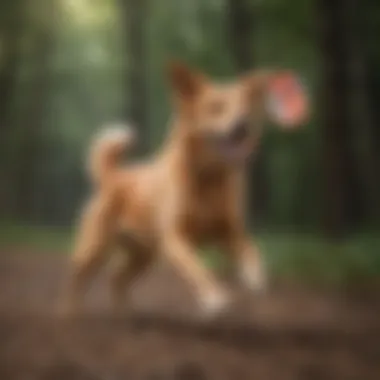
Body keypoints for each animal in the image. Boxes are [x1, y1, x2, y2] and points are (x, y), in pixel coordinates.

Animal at [60, 60, 308, 318]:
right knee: (76, 281)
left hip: (143, 255)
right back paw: (70, 314)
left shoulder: (229, 231)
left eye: (245, 108)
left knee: (116, 279)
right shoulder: (176, 238)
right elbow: (197, 268)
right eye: (215, 107)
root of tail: (113, 176)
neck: (208, 179)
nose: (243, 125)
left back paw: (126, 315)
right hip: (94, 250)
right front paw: (214, 298)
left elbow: (251, 249)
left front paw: (254, 277)